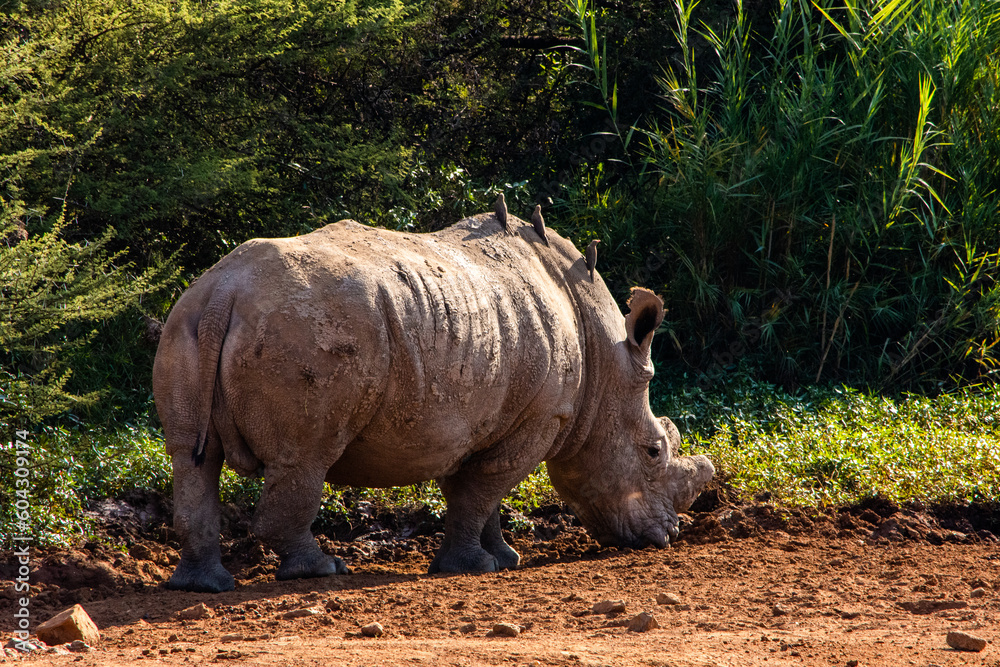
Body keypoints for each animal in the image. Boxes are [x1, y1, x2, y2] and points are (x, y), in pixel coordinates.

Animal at [153, 212, 714, 592]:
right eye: (653, 451)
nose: (667, 535)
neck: (605, 361)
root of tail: (225, 291)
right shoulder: (541, 417)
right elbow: (483, 490)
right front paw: (475, 568)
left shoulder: (470, 420)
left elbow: (476, 493)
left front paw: (503, 558)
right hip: (307, 333)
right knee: (305, 458)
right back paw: (322, 571)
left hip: (185, 321)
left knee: (191, 458)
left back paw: (201, 585)